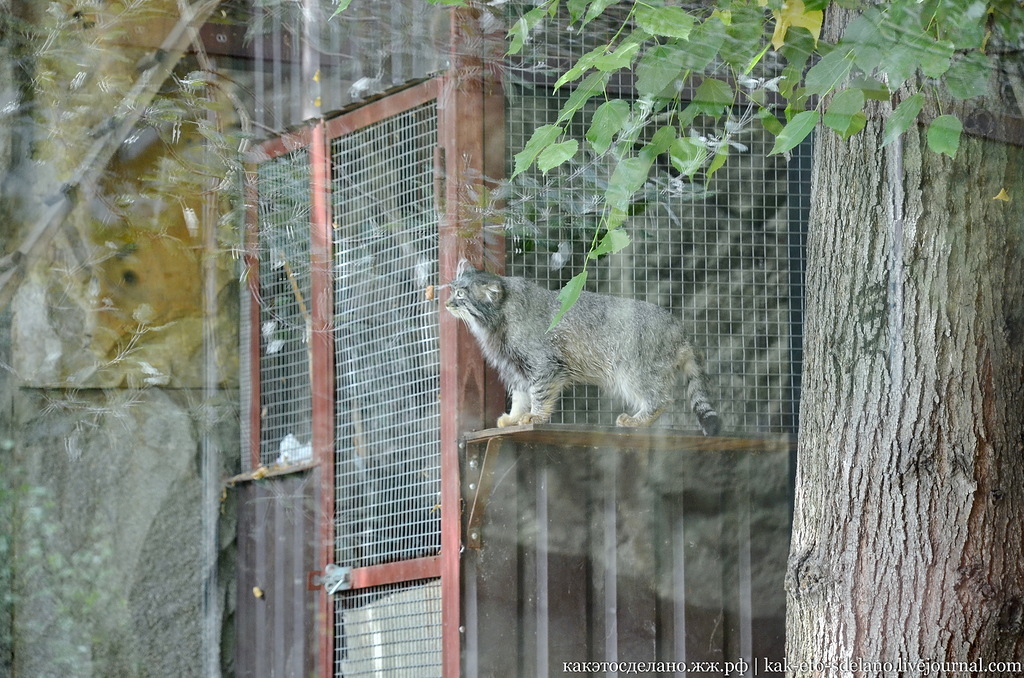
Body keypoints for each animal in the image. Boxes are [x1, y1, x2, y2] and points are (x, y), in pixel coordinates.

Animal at [446, 260, 720, 436]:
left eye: (460, 295)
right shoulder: (516, 368)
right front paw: (514, 418)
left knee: (661, 398)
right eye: (452, 290)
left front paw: (536, 416)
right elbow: (521, 396)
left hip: (633, 370)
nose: (447, 302)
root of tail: (678, 325)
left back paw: (637, 421)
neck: (498, 319)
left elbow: (538, 394)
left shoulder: (543, 365)